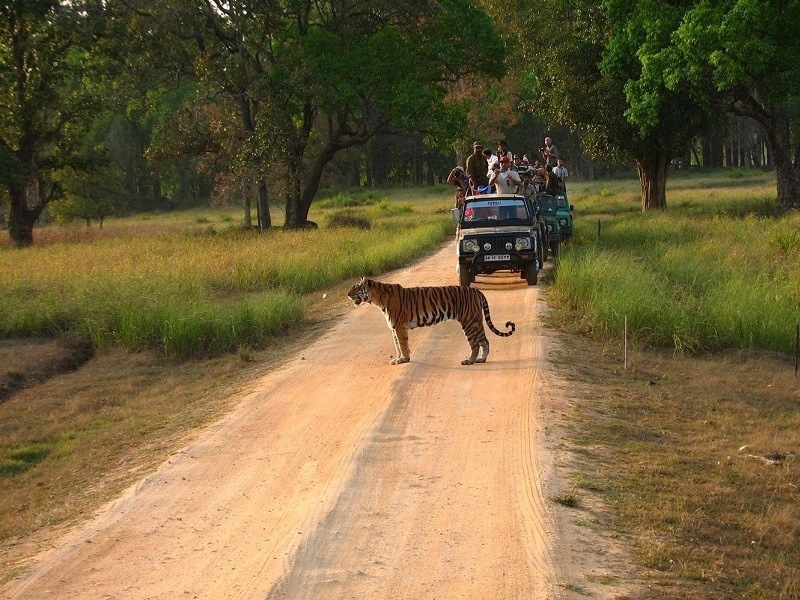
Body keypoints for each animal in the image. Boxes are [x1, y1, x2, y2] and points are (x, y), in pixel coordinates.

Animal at [346, 276, 516, 366]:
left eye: (356, 287)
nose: (347, 294)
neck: (377, 299)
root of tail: (475, 290)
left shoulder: (399, 327)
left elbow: (402, 345)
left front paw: (404, 359)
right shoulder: (393, 328)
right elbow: (397, 346)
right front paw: (397, 358)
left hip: (469, 322)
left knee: (474, 344)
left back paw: (469, 360)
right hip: (476, 320)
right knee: (485, 341)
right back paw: (481, 359)